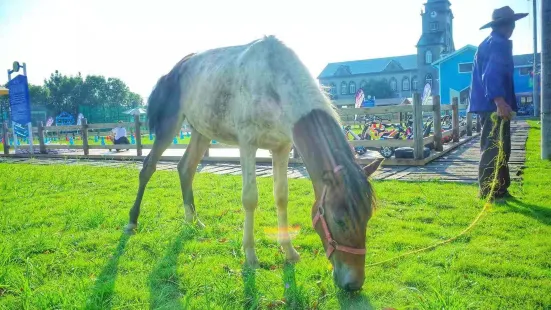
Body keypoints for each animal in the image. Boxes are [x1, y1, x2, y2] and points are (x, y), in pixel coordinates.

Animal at [126, 35, 384, 290]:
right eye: (340, 220)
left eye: (368, 216)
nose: (353, 284)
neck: (274, 83)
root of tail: (174, 71)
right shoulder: (247, 144)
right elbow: (250, 199)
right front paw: (250, 255)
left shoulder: (281, 147)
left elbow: (281, 196)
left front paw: (289, 250)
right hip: (170, 125)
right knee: (148, 167)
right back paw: (132, 221)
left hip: (201, 131)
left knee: (185, 168)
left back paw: (193, 221)